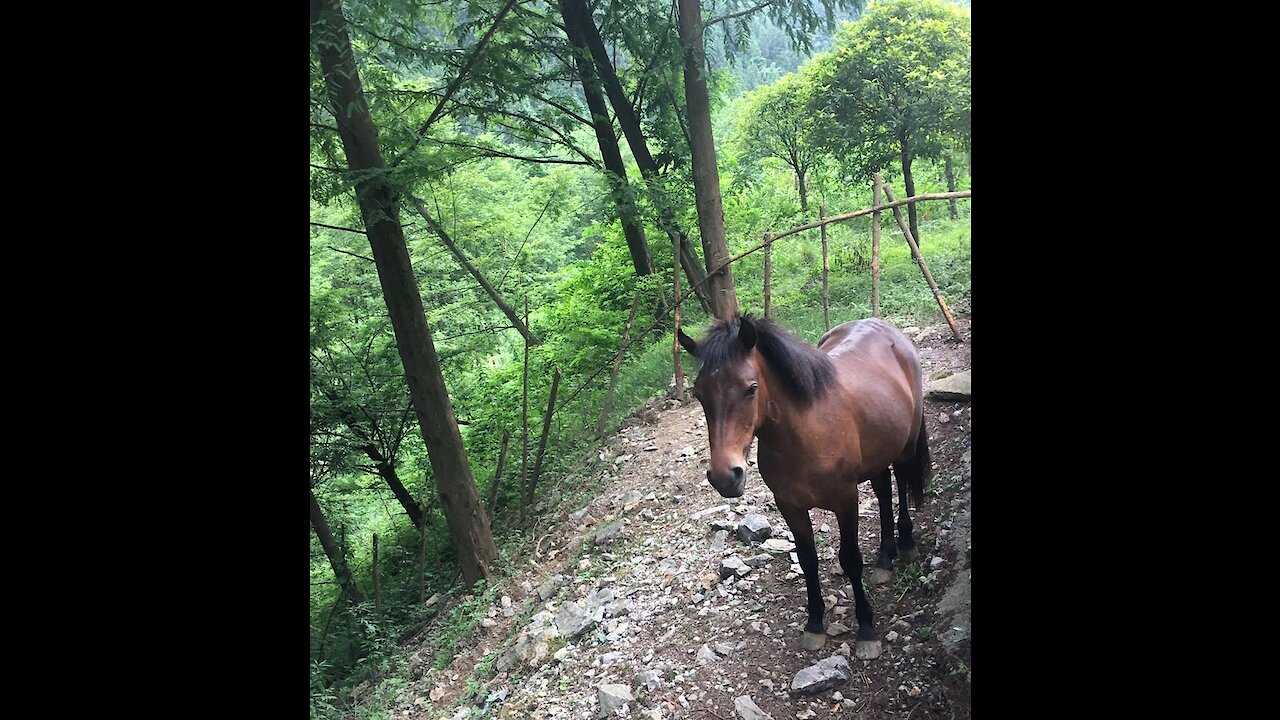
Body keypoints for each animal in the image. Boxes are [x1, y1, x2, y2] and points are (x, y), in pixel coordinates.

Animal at [680, 312, 931, 655]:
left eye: (751, 388)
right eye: (699, 394)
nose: (725, 476)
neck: (805, 434)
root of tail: (886, 328)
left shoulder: (845, 500)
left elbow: (850, 559)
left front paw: (866, 628)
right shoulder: (790, 505)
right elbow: (808, 560)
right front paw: (814, 624)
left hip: (905, 446)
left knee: (902, 483)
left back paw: (904, 543)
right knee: (882, 490)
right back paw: (884, 557)